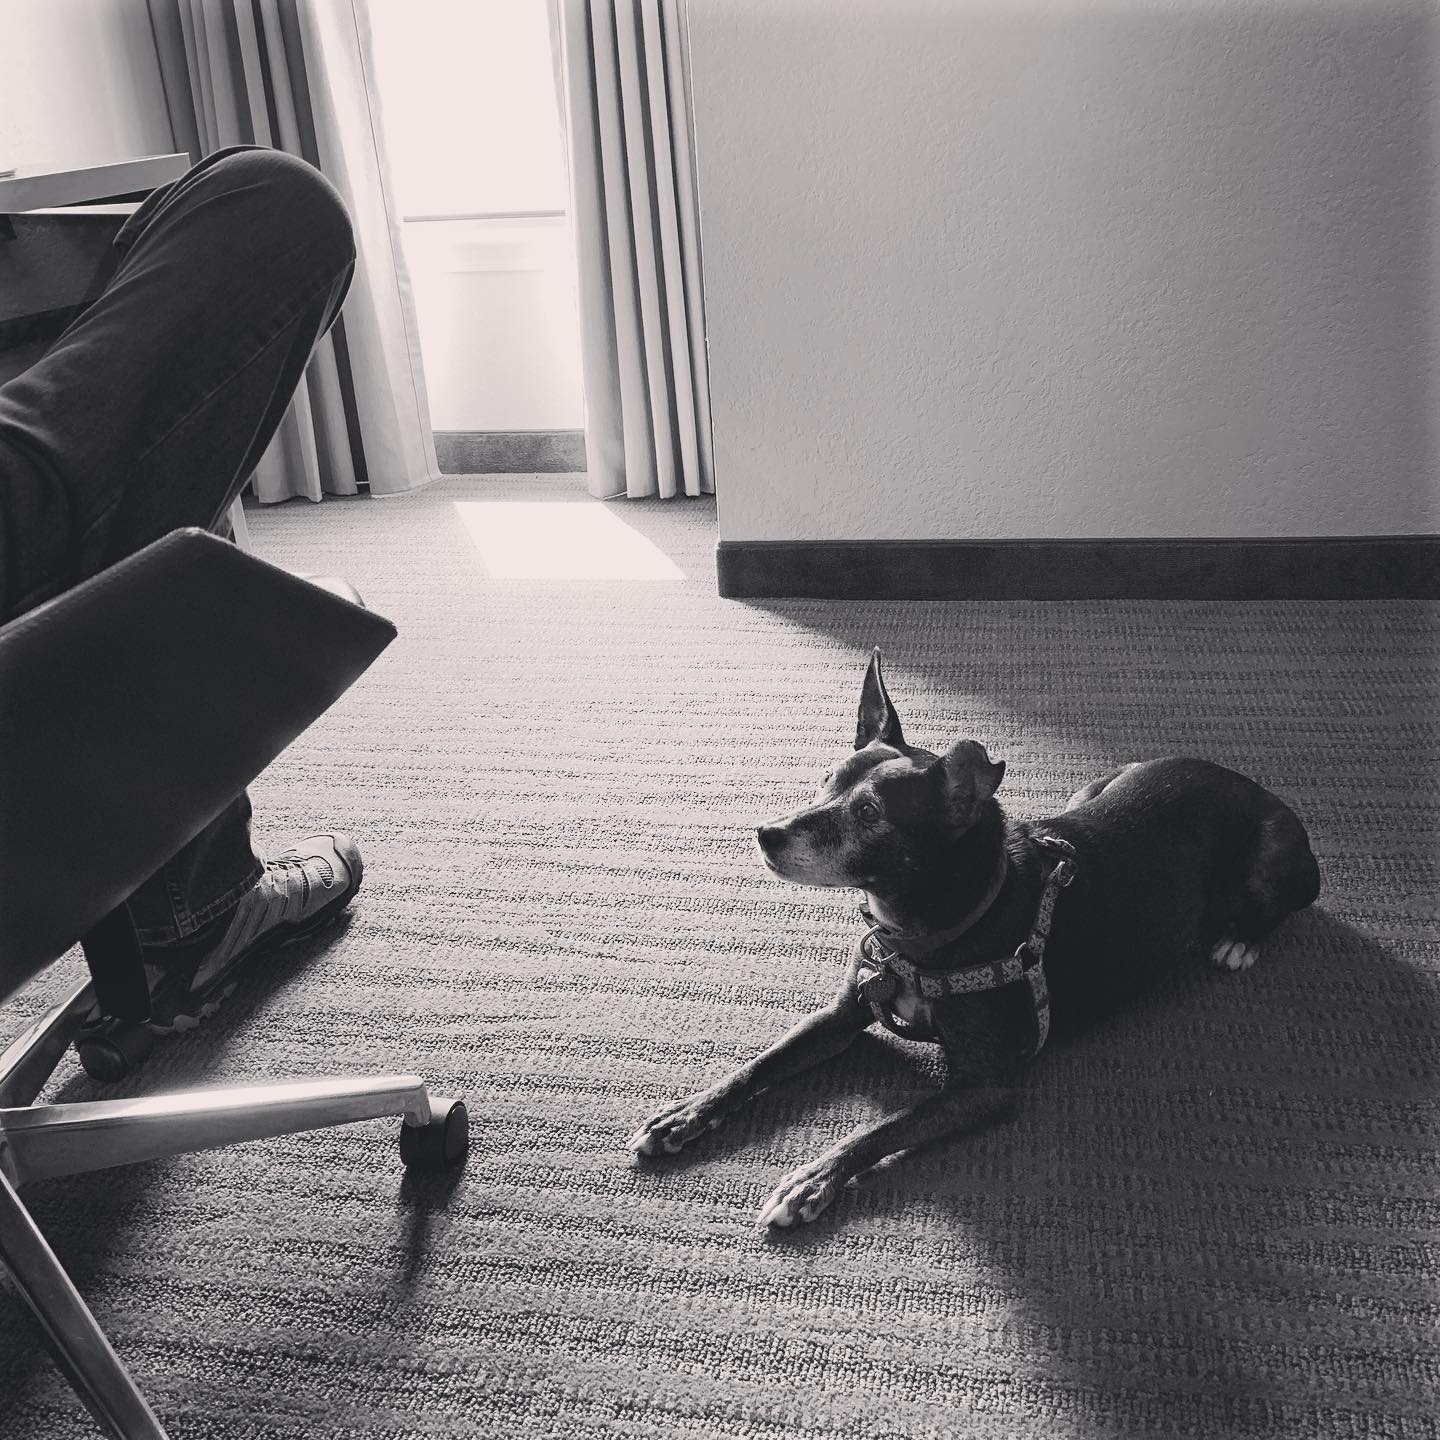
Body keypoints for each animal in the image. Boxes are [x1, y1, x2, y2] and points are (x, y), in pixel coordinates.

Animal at [624, 653, 1319, 1226]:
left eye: (870, 813)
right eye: (825, 779)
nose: (766, 833)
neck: (927, 931)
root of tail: (1241, 777)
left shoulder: (985, 1087)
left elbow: (883, 1128)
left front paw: (813, 1180)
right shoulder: (841, 1015)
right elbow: (761, 1064)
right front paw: (686, 1115)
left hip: (1278, 857)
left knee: (1288, 901)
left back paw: (1239, 941)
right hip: (1098, 785)